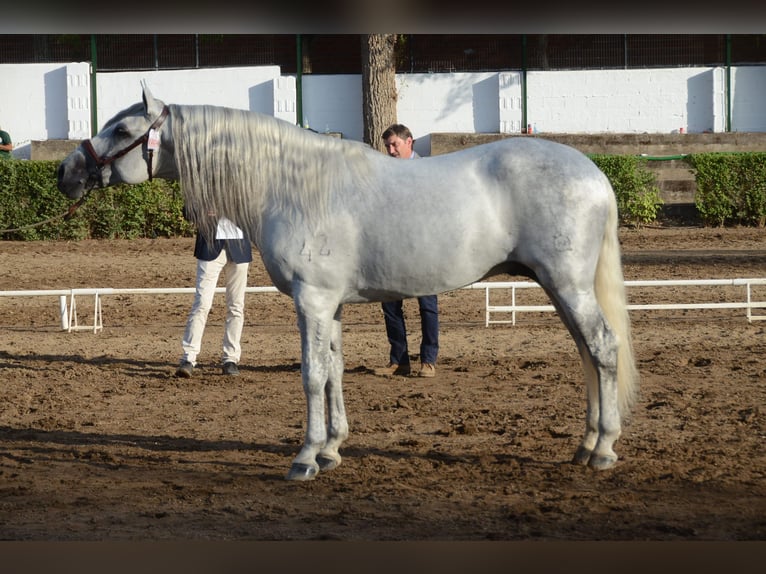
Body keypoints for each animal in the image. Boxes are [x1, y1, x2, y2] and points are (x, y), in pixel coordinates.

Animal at [57, 85, 640, 482]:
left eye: (122, 131)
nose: (66, 172)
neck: (290, 185)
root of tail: (594, 173)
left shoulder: (312, 301)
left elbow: (312, 375)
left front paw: (304, 458)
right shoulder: (329, 305)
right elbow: (335, 371)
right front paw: (333, 449)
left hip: (568, 286)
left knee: (602, 348)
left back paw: (604, 450)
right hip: (558, 288)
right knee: (587, 354)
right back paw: (586, 445)